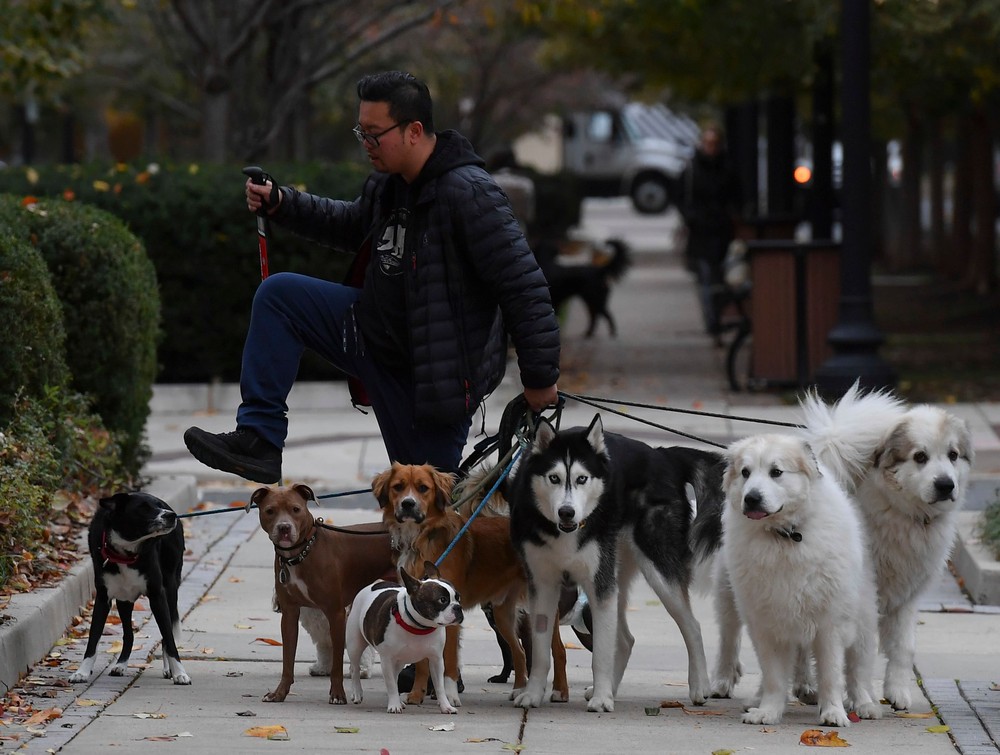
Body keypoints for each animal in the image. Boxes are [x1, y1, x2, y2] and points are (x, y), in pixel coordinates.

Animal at [254, 484, 394, 704]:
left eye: (296, 509)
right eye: (270, 511)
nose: (284, 528)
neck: (301, 554)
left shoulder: (336, 614)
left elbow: (338, 663)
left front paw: (338, 693)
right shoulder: (290, 616)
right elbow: (288, 661)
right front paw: (280, 693)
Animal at [512, 416, 724, 712]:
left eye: (581, 479)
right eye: (554, 478)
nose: (567, 512)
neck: (565, 533)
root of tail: (663, 454)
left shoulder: (599, 585)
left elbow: (601, 651)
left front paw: (602, 699)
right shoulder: (542, 585)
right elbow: (541, 650)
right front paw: (532, 694)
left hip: (656, 569)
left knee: (692, 626)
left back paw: (699, 686)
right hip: (617, 574)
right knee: (625, 640)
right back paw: (612, 688)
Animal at [720, 434, 884, 728]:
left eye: (776, 472)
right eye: (745, 472)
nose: (751, 498)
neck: (785, 536)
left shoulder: (830, 625)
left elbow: (831, 674)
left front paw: (833, 713)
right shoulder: (766, 625)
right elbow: (774, 676)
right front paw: (768, 712)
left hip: (862, 623)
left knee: (857, 672)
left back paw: (865, 705)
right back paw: (757, 700)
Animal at [804, 392, 976, 712]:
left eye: (953, 455)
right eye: (920, 457)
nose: (946, 485)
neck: (906, 515)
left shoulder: (907, 596)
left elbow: (904, 647)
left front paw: (896, 691)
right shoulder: (864, 596)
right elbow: (861, 647)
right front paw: (862, 697)